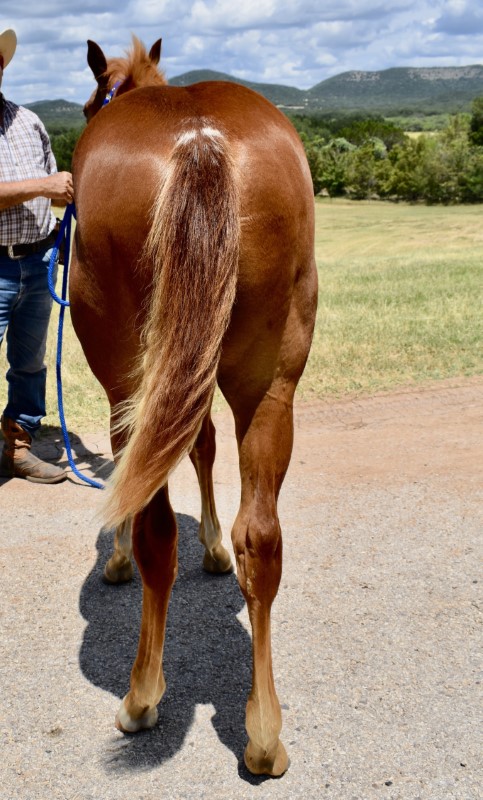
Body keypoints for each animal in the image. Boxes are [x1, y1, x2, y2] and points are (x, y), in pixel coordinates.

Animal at [68, 36, 318, 776]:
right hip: (269, 388)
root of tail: (200, 140)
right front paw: (212, 546)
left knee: (158, 531)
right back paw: (263, 735)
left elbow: (138, 471)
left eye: (92, 99)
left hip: (129, 372)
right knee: (261, 537)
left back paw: (141, 697)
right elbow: (202, 447)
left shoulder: (135, 392)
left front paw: (118, 558)